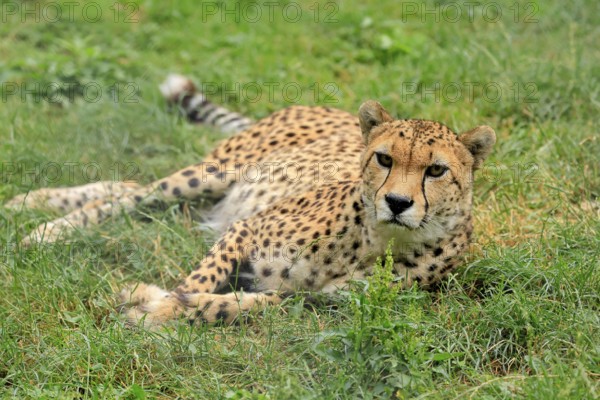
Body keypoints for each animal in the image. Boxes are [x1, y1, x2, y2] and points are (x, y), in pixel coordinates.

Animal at [5, 73, 496, 326]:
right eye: (384, 158)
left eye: (436, 170)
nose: (396, 202)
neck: (376, 242)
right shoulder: (245, 229)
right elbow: (197, 281)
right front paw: (158, 302)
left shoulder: (311, 302)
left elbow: (225, 305)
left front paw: (159, 308)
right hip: (214, 174)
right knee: (133, 194)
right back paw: (42, 224)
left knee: (125, 189)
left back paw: (33, 208)